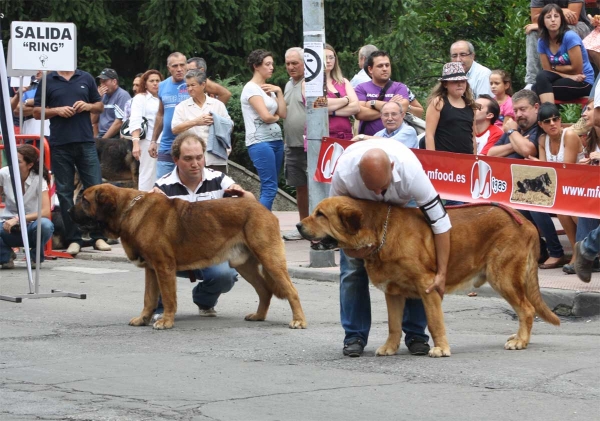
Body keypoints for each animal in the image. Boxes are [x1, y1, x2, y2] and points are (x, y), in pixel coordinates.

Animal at [68, 182, 308, 330]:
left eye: (84, 200)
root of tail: (264, 210)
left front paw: (166, 321)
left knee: (291, 291)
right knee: (265, 291)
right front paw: (144, 318)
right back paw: (259, 316)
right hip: (245, 265)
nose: (68, 211)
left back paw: (298, 320)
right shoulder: (151, 269)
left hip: (270, 260)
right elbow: (148, 298)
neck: (127, 210)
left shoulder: (163, 267)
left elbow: (168, 297)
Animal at [298, 195, 560, 356]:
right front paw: (390, 347)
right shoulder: (393, 293)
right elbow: (394, 325)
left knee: (527, 309)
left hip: (502, 277)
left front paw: (441, 348)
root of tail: (526, 221)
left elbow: (434, 321)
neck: (380, 231)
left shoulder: (429, 287)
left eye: (321, 214)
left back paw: (520, 341)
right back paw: (520, 337)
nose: (299, 226)